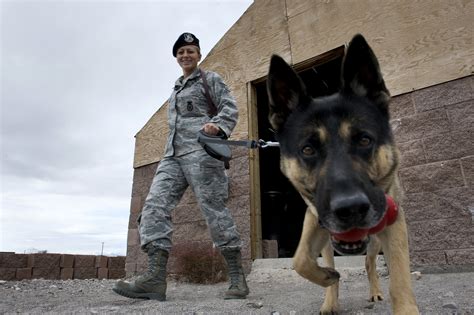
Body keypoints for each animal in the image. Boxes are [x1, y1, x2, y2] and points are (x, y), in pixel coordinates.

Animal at [266, 33, 418, 314]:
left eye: (364, 140)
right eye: (308, 149)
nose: (351, 209)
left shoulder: (393, 224)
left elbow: (400, 278)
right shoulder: (315, 218)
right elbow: (299, 260)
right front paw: (326, 279)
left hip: (375, 238)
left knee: (370, 262)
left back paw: (375, 291)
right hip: (329, 239)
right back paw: (330, 297)